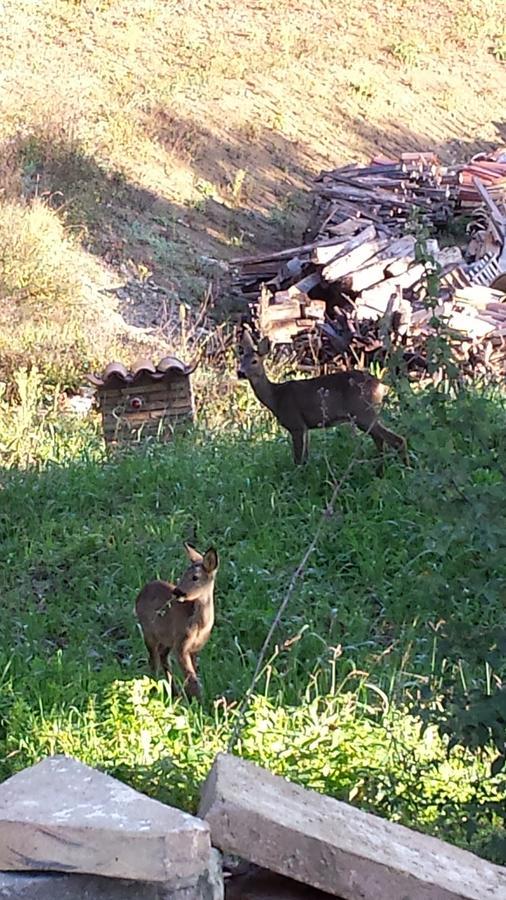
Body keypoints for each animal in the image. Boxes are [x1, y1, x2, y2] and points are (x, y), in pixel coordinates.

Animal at [135, 540, 218, 704]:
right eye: (183, 574)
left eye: (195, 577)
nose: (177, 591)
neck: (200, 625)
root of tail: (140, 593)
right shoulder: (181, 644)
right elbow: (191, 678)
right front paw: (199, 703)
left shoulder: (194, 648)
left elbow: (192, 674)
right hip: (149, 632)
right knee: (153, 660)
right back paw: (155, 690)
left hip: (166, 639)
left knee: (162, 657)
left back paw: (173, 693)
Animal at [237, 330, 408, 472]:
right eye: (240, 359)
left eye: (254, 361)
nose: (240, 372)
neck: (276, 397)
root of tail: (381, 385)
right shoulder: (305, 427)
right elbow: (305, 458)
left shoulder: (296, 424)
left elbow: (298, 460)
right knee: (380, 440)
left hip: (363, 412)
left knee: (397, 440)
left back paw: (405, 469)